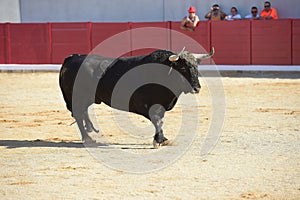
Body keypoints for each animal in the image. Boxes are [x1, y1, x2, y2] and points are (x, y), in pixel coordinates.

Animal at [59, 48, 213, 147]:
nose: (197, 88)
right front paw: (159, 140)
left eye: (196, 67)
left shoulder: (161, 105)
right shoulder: (145, 106)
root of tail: (71, 57)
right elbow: (157, 120)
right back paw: (87, 138)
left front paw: (162, 138)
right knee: (78, 115)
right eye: (182, 68)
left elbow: (160, 120)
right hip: (76, 97)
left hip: (86, 99)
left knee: (82, 113)